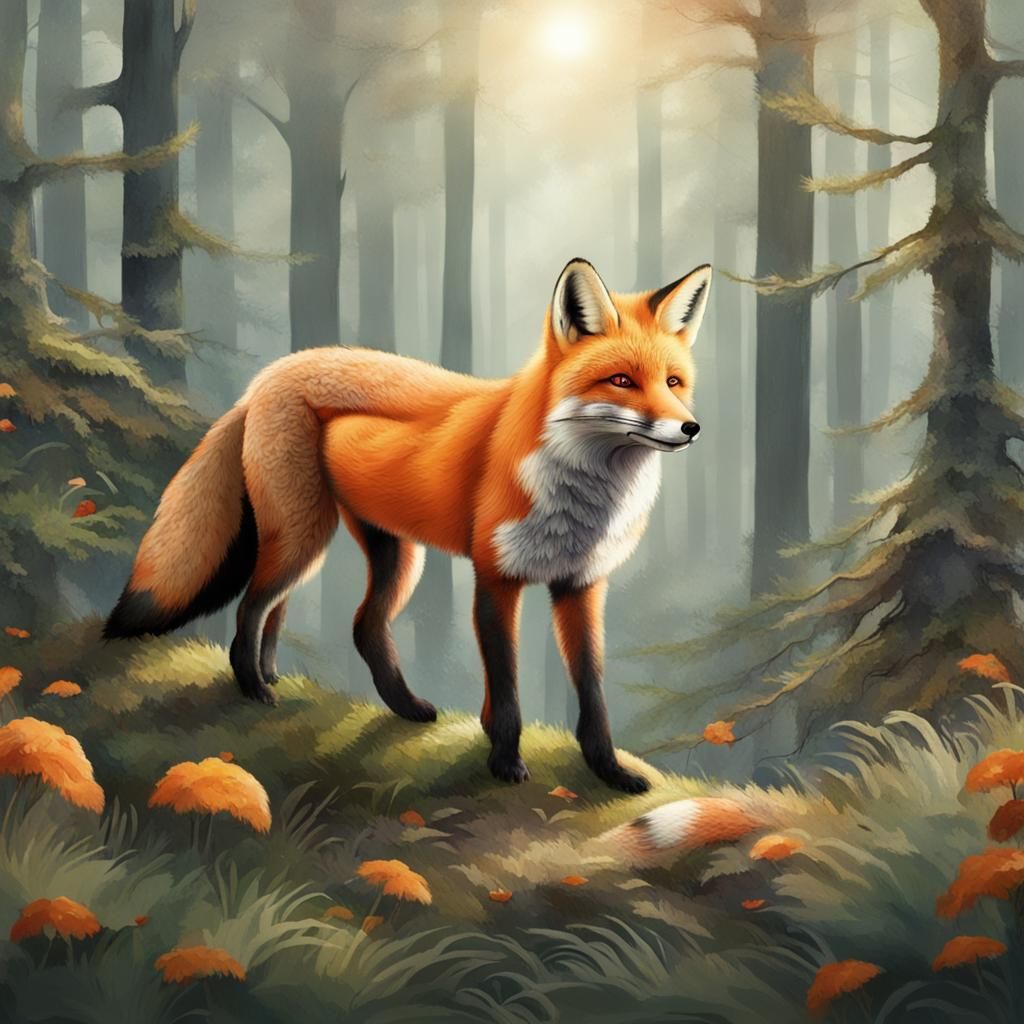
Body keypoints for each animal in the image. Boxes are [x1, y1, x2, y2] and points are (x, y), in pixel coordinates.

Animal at [105, 257, 712, 793]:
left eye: (674, 382)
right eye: (622, 380)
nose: (690, 428)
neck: (581, 498)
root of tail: (268, 375)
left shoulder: (580, 585)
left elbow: (593, 694)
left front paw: (609, 772)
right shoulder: (495, 578)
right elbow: (507, 691)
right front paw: (505, 761)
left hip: (385, 553)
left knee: (354, 625)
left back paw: (376, 699)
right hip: (305, 538)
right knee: (251, 609)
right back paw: (254, 686)